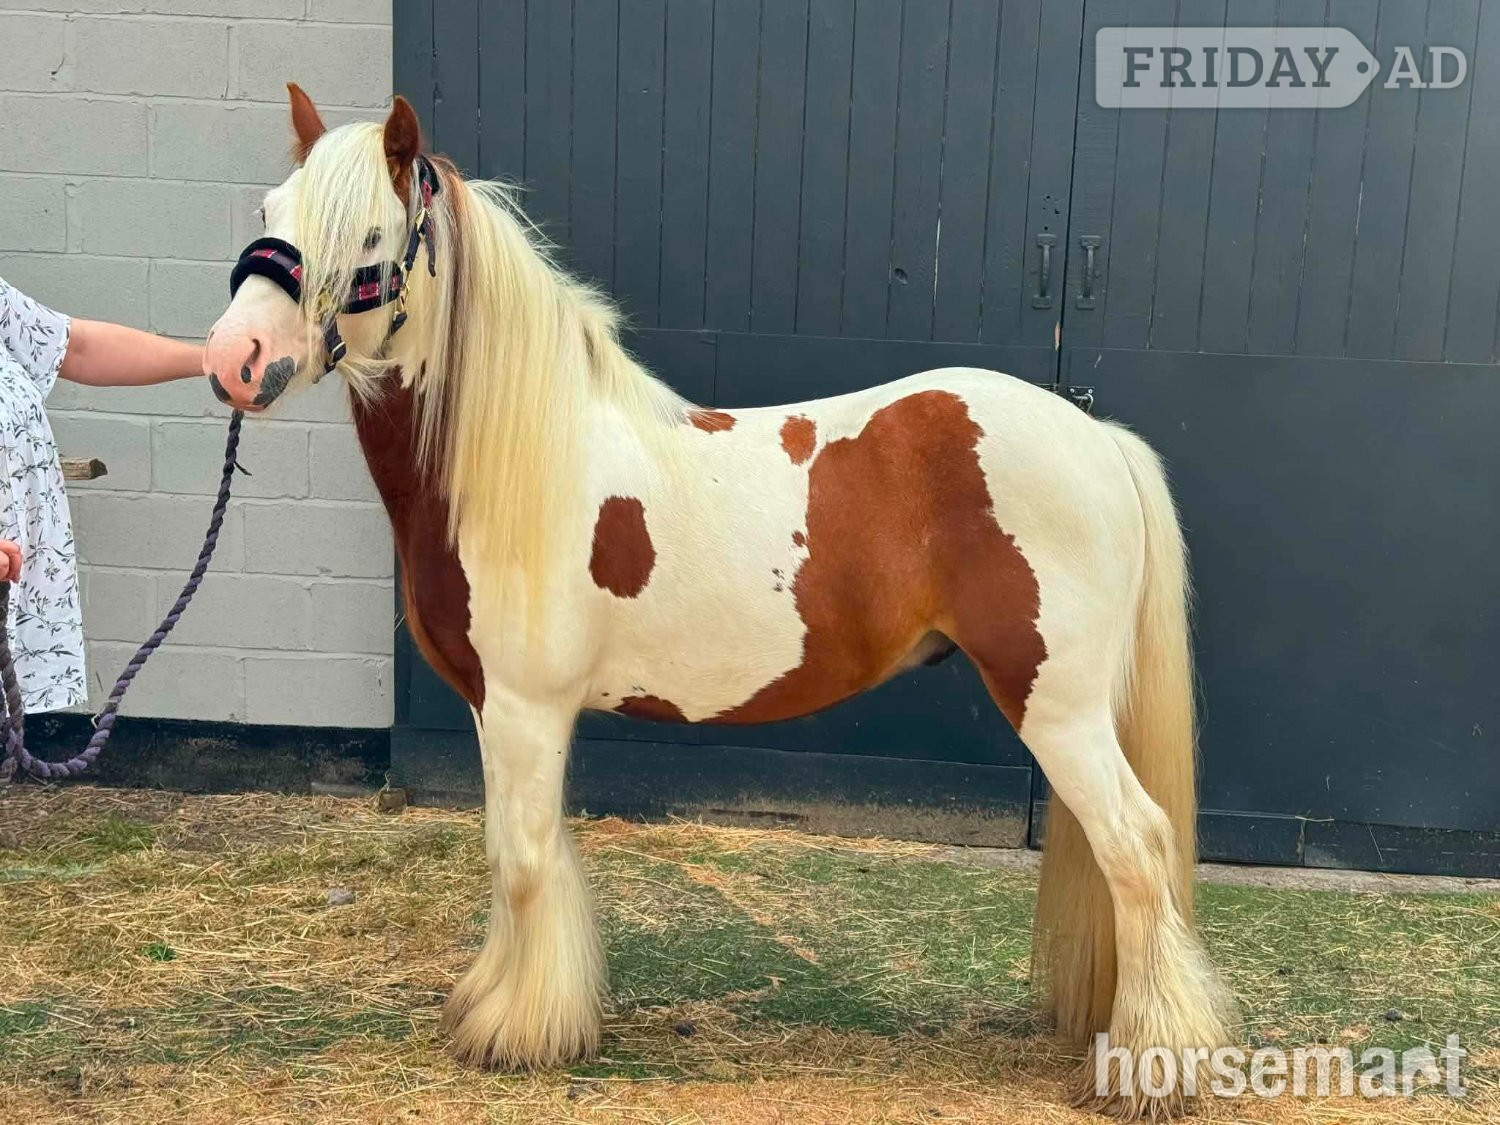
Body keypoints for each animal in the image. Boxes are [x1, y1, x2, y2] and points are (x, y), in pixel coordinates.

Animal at [202, 86, 1237, 1119]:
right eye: (269, 209)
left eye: (370, 238)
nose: (233, 357)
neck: (521, 462)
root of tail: (1097, 437)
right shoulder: (493, 710)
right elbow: (507, 854)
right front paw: (496, 1004)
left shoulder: (529, 709)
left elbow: (526, 859)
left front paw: (519, 1032)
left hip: (1055, 705)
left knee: (1138, 846)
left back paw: (1152, 1061)